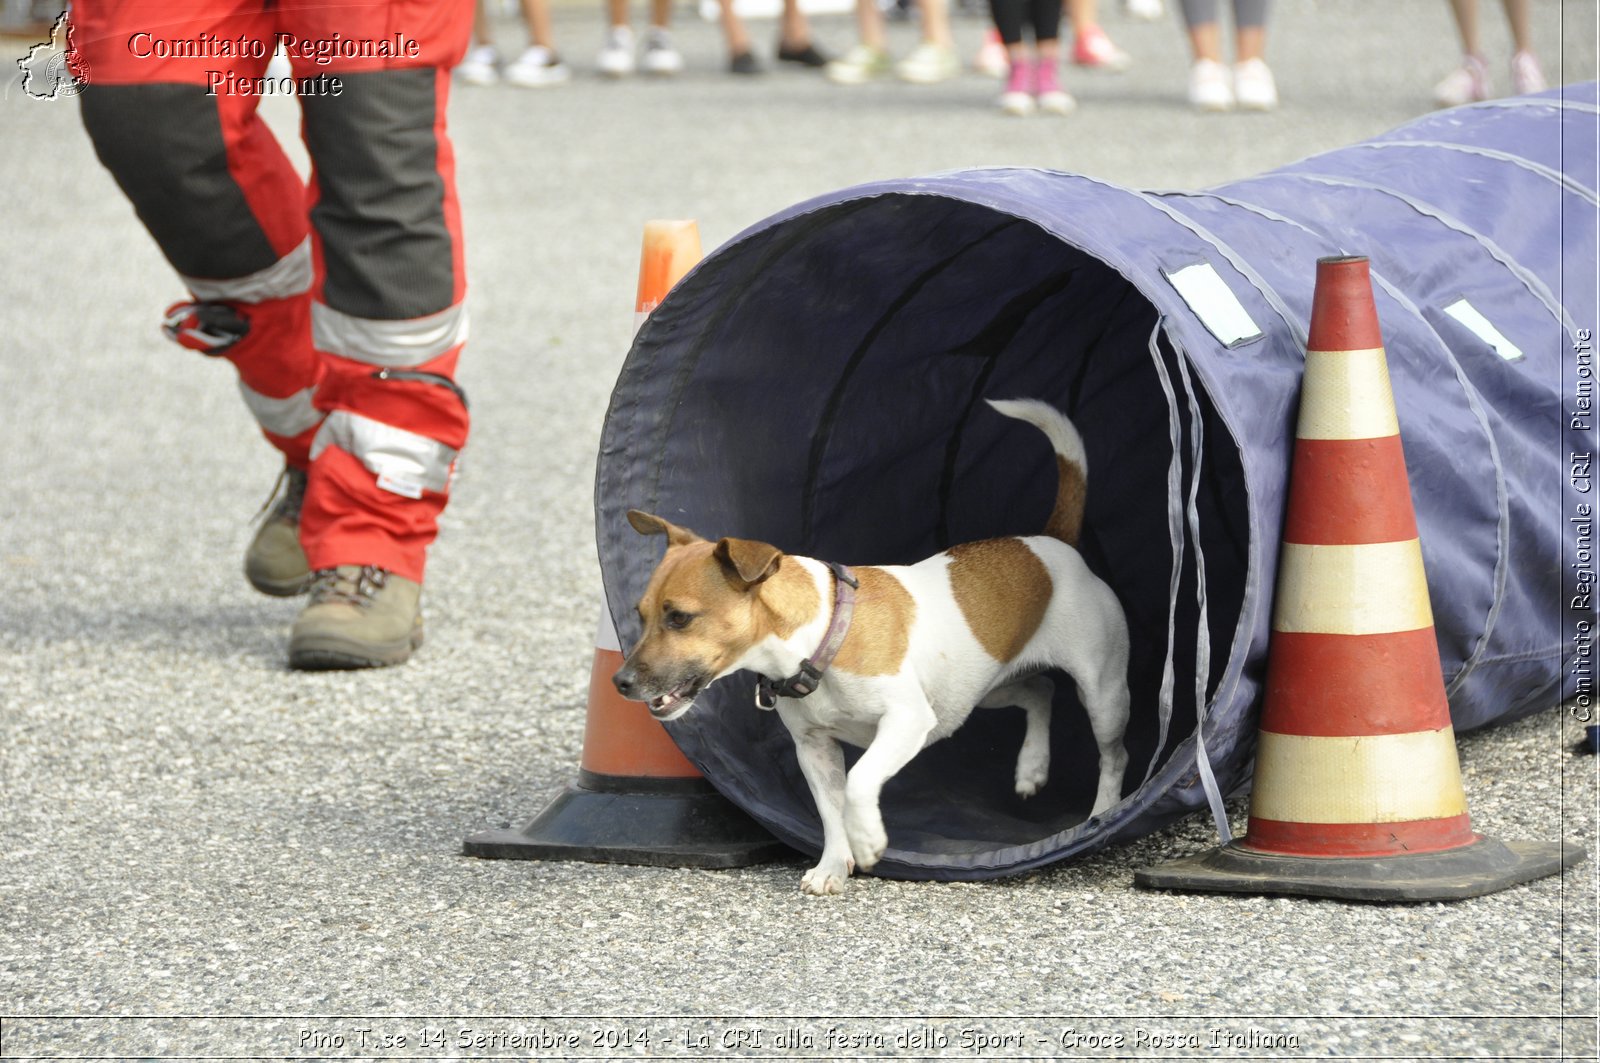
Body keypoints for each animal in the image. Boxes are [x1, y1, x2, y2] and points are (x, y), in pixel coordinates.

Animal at [614, 400, 1139, 896]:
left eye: (679, 617)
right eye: (640, 614)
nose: (620, 682)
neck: (823, 636)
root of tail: (1052, 543)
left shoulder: (907, 721)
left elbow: (859, 782)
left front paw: (868, 840)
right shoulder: (815, 748)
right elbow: (830, 810)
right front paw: (832, 866)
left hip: (1102, 693)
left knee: (1113, 754)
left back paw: (1102, 815)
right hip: (982, 691)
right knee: (1040, 691)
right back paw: (1031, 768)